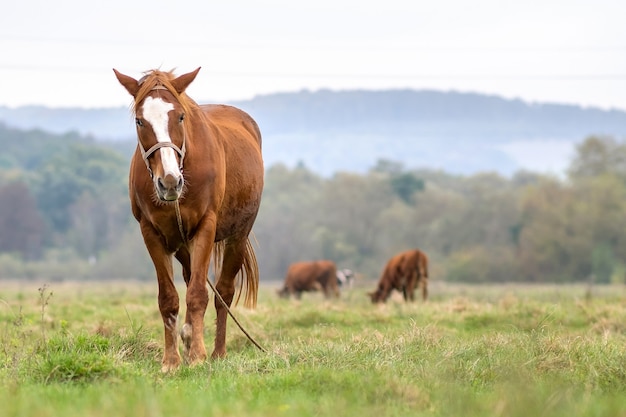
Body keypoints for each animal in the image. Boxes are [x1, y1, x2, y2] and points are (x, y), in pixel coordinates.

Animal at [113, 67, 262, 370]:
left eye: (180, 116)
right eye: (140, 120)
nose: (169, 182)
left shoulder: (205, 226)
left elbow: (198, 294)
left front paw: (198, 357)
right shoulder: (151, 232)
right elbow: (168, 298)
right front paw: (171, 360)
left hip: (238, 235)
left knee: (223, 292)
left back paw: (218, 352)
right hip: (182, 245)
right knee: (191, 277)